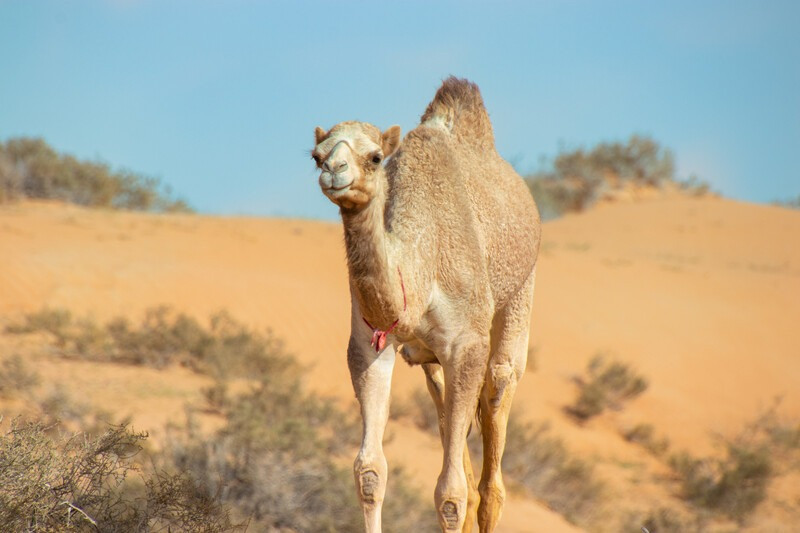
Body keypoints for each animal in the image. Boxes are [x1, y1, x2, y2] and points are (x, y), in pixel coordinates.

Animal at [310, 77, 540, 528]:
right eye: (316, 156)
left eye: (375, 156)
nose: (333, 172)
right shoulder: (370, 344)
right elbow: (370, 473)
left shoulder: (466, 346)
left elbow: (451, 493)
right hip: (431, 361)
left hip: (520, 294)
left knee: (491, 473)